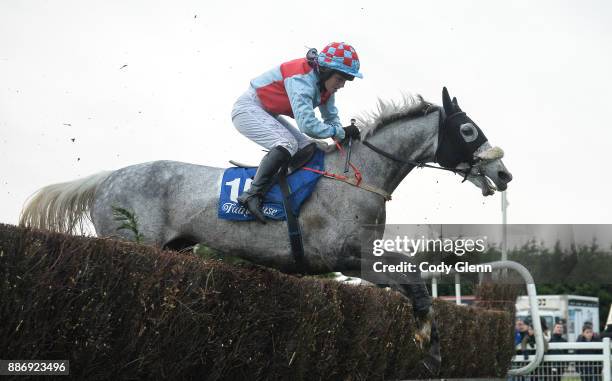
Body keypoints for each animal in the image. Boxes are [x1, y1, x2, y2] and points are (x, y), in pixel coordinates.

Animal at [19, 87, 512, 374]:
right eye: (468, 130)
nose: (504, 174)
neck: (358, 176)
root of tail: (107, 178)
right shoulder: (345, 258)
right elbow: (415, 285)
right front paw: (428, 346)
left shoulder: (363, 256)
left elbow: (414, 278)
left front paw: (431, 341)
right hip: (129, 245)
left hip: (176, 250)